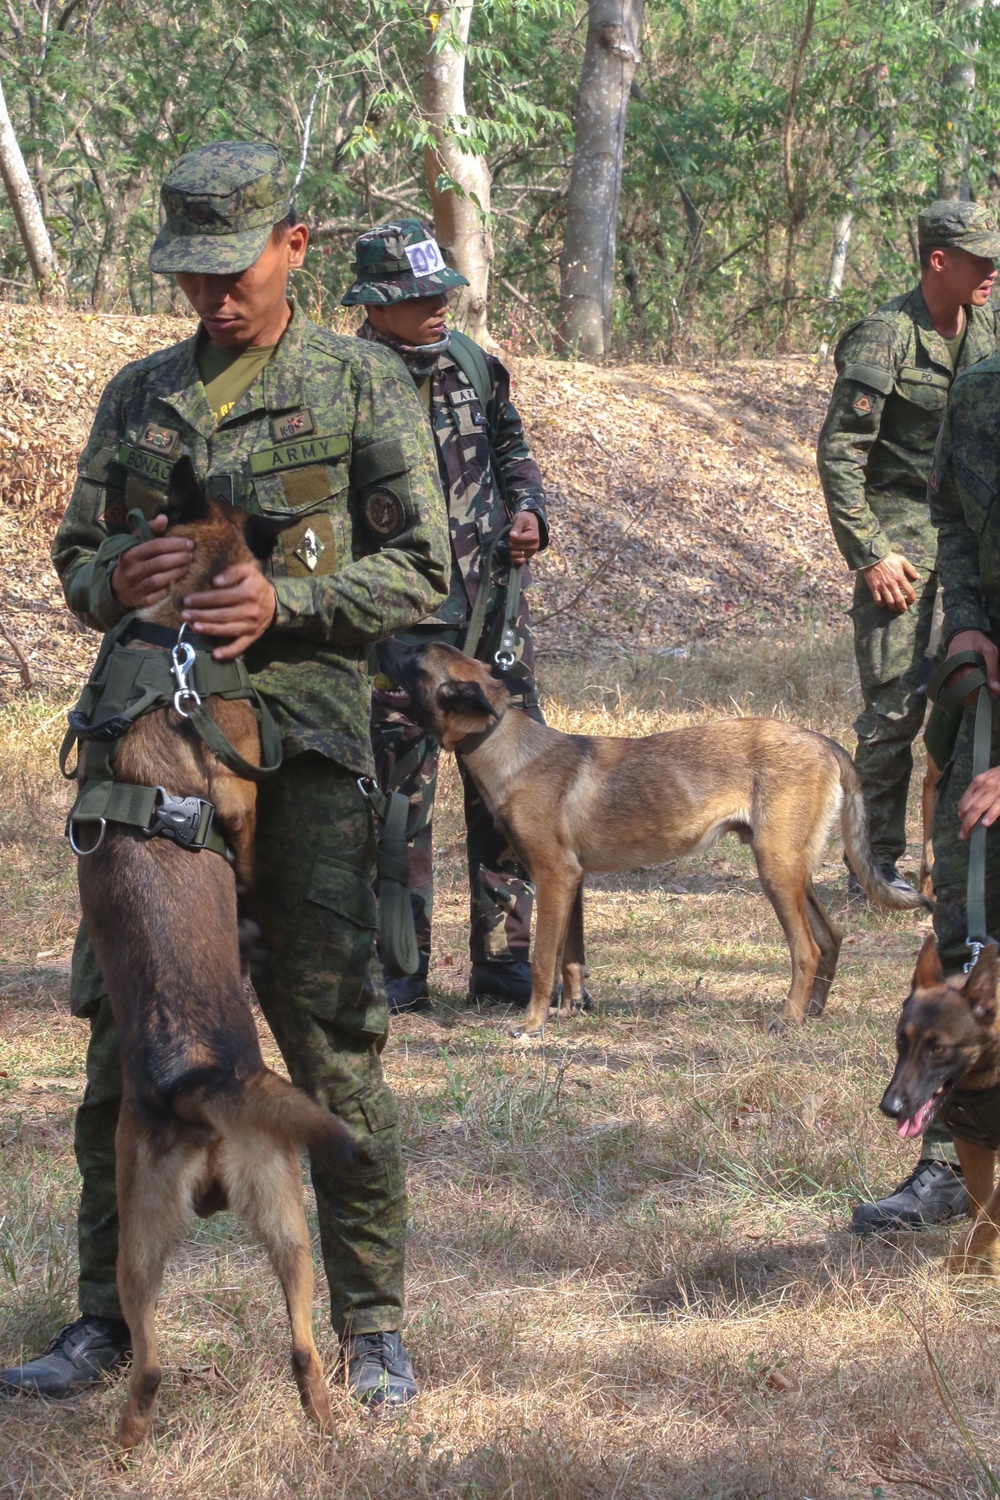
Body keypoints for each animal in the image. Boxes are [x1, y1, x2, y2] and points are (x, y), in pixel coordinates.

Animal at [66, 453, 358, 1440]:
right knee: (229, 1358)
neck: (178, 641)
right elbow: (249, 827)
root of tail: (201, 1084)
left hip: (242, 1229)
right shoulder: (238, 791)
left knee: (247, 1354)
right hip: (238, 1226)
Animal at [379, 639, 929, 1038]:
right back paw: (813, 1012)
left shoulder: (554, 878)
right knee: (831, 938)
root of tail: (823, 741)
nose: (382, 638)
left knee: (808, 950)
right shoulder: (574, 882)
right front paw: (572, 1012)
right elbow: (571, 960)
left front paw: (531, 1026)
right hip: (793, 869)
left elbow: (542, 961)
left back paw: (788, 1018)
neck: (503, 742)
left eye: (416, 657)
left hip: (775, 869)